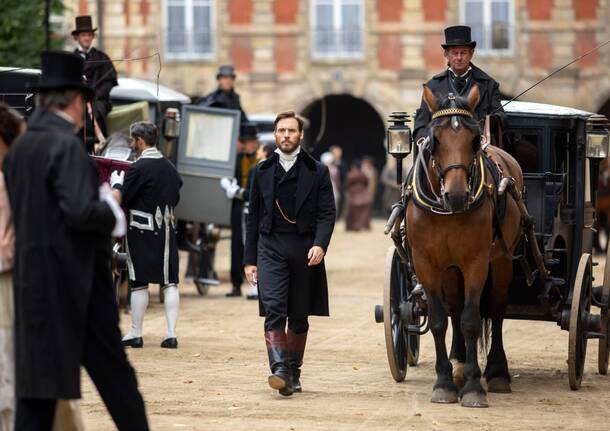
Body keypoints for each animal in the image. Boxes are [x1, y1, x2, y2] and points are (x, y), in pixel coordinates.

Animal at [404, 85, 524, 408]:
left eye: (473, 139)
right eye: (434, 139)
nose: (456, 195)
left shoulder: (476, 262)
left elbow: (472, 320)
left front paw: (472, 387)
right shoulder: (427, 263)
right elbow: (439, 320)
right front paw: (445, 382)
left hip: (501, 259)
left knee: (495, 307)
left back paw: (496, 372)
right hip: (450, 269)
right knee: (455, 308)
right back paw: (458, 364)